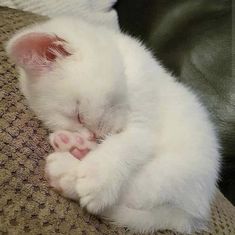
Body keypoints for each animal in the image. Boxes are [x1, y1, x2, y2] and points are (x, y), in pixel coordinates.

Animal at [6, 16, 220, 233]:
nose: (91, 135)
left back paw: (67, 173)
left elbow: (126, 144)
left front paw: (97, 177)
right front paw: (80, 141)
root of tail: (192, 215)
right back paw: (74, 147)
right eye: (73, 122)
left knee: (138, 190)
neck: (126, 67)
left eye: (78, 115)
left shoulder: (146, 121)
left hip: (175, 171)